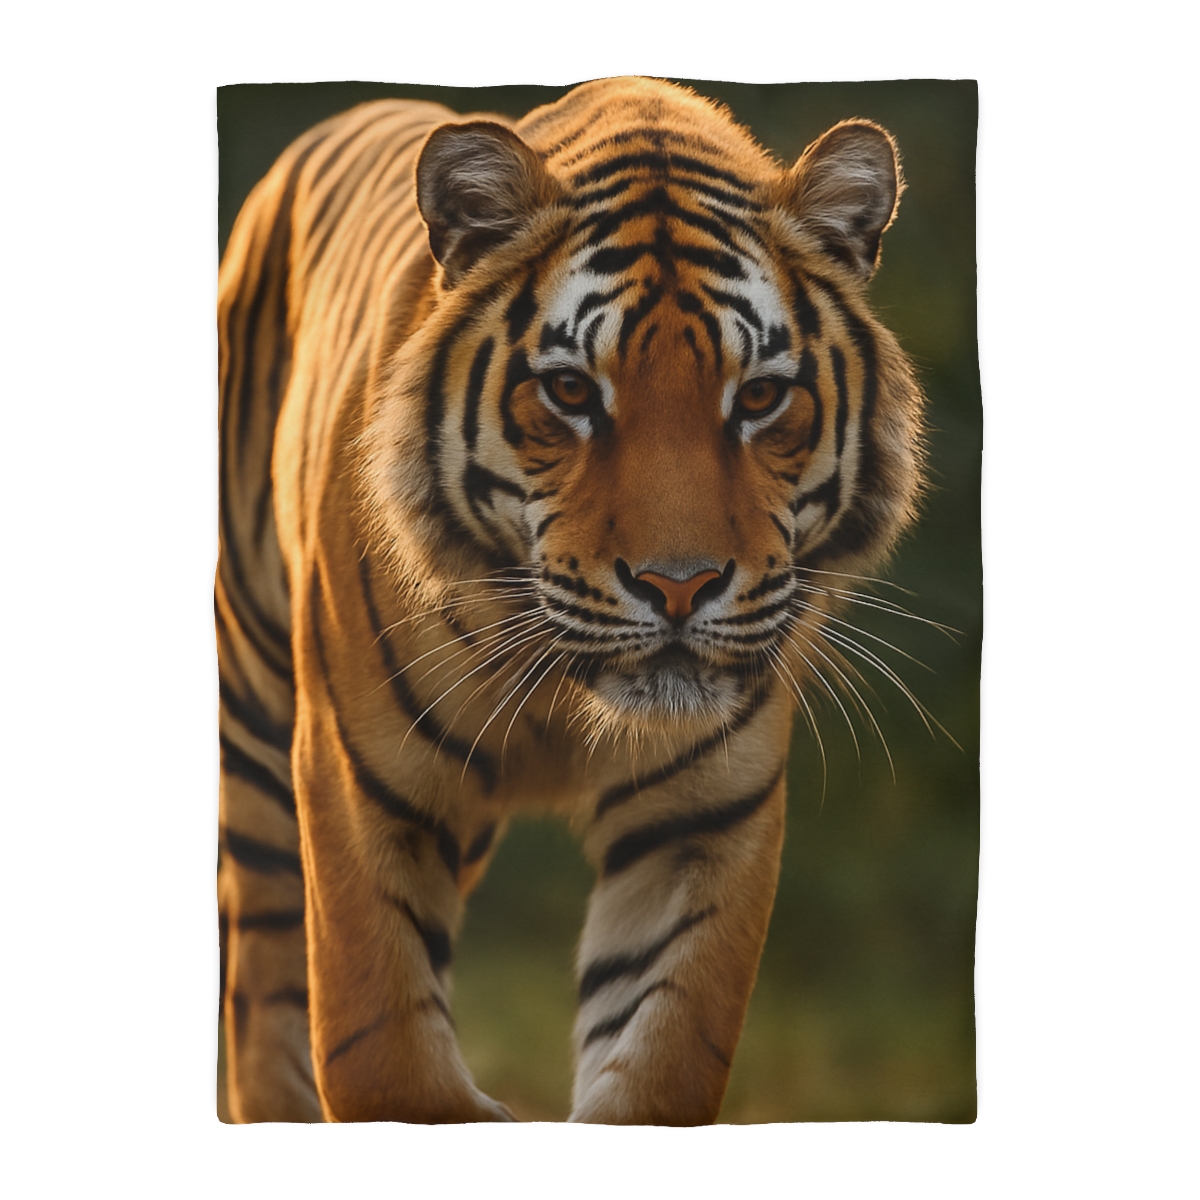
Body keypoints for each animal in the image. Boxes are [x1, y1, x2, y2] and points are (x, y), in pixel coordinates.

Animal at [217, 76, 926, 1125]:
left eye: (759, 399)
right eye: (569, 392)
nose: (680, 586)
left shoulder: (703, 818)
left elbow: (659, 1062)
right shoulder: (360, 782)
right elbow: (387, 1058)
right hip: (258, 744)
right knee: (264, 990)